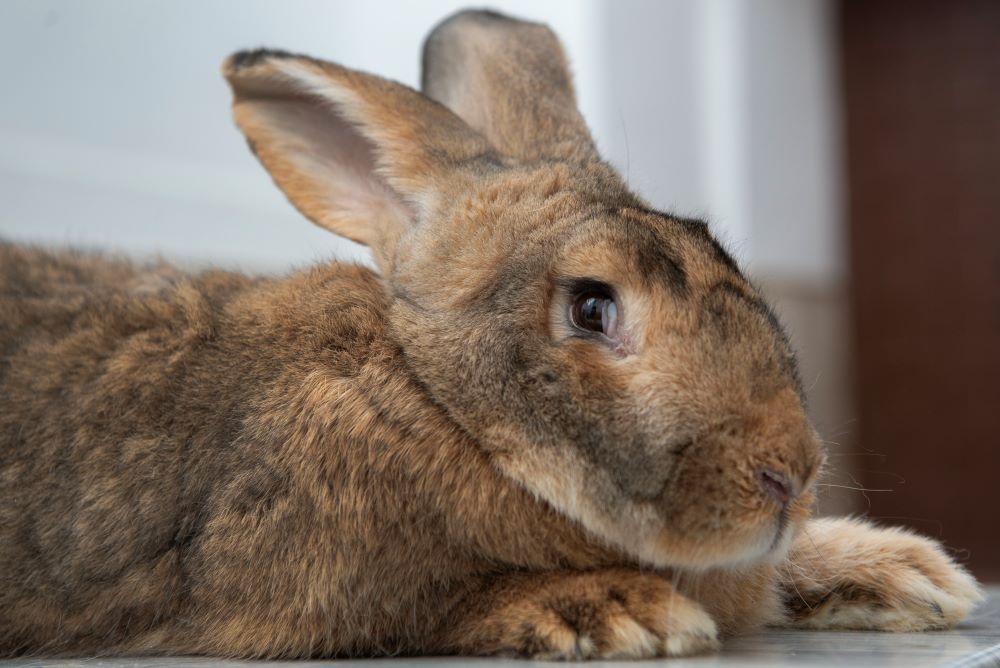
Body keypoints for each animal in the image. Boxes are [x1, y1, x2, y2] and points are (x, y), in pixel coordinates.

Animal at [0, 8, 982, 660]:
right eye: (591, 307)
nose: (790, 476)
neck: (440, 405)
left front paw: (913, 574)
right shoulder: (268, 596)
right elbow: (430, 609)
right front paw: (618, 610)